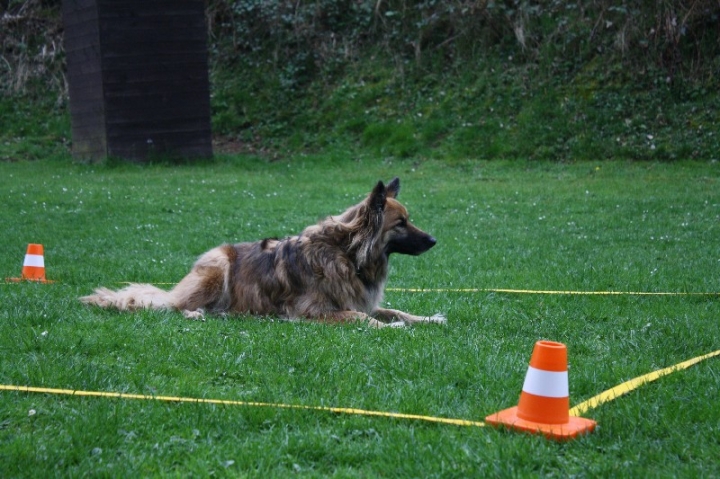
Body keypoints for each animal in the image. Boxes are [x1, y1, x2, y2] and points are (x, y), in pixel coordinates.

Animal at [81, 178, 448, 328]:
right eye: (401, 223)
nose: (434, 240)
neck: (346, 253)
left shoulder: (360, 299)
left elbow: (396, 310)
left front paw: (427, 319)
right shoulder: (314, 311)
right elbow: (364, 319)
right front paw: (390, 328)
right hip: (217, 268)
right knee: (174, 307)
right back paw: (198, 314)